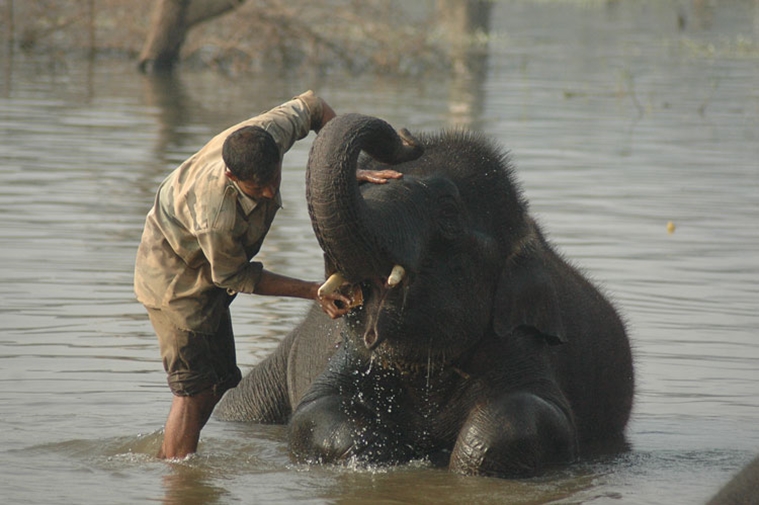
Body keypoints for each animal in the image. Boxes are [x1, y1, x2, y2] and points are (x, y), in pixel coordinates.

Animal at [215, 113, 634, 477]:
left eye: (448, 214)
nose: (406, 136)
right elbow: (316, 411)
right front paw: (383, 453)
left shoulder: (521, 339)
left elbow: (538, 416)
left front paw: (456, 464)